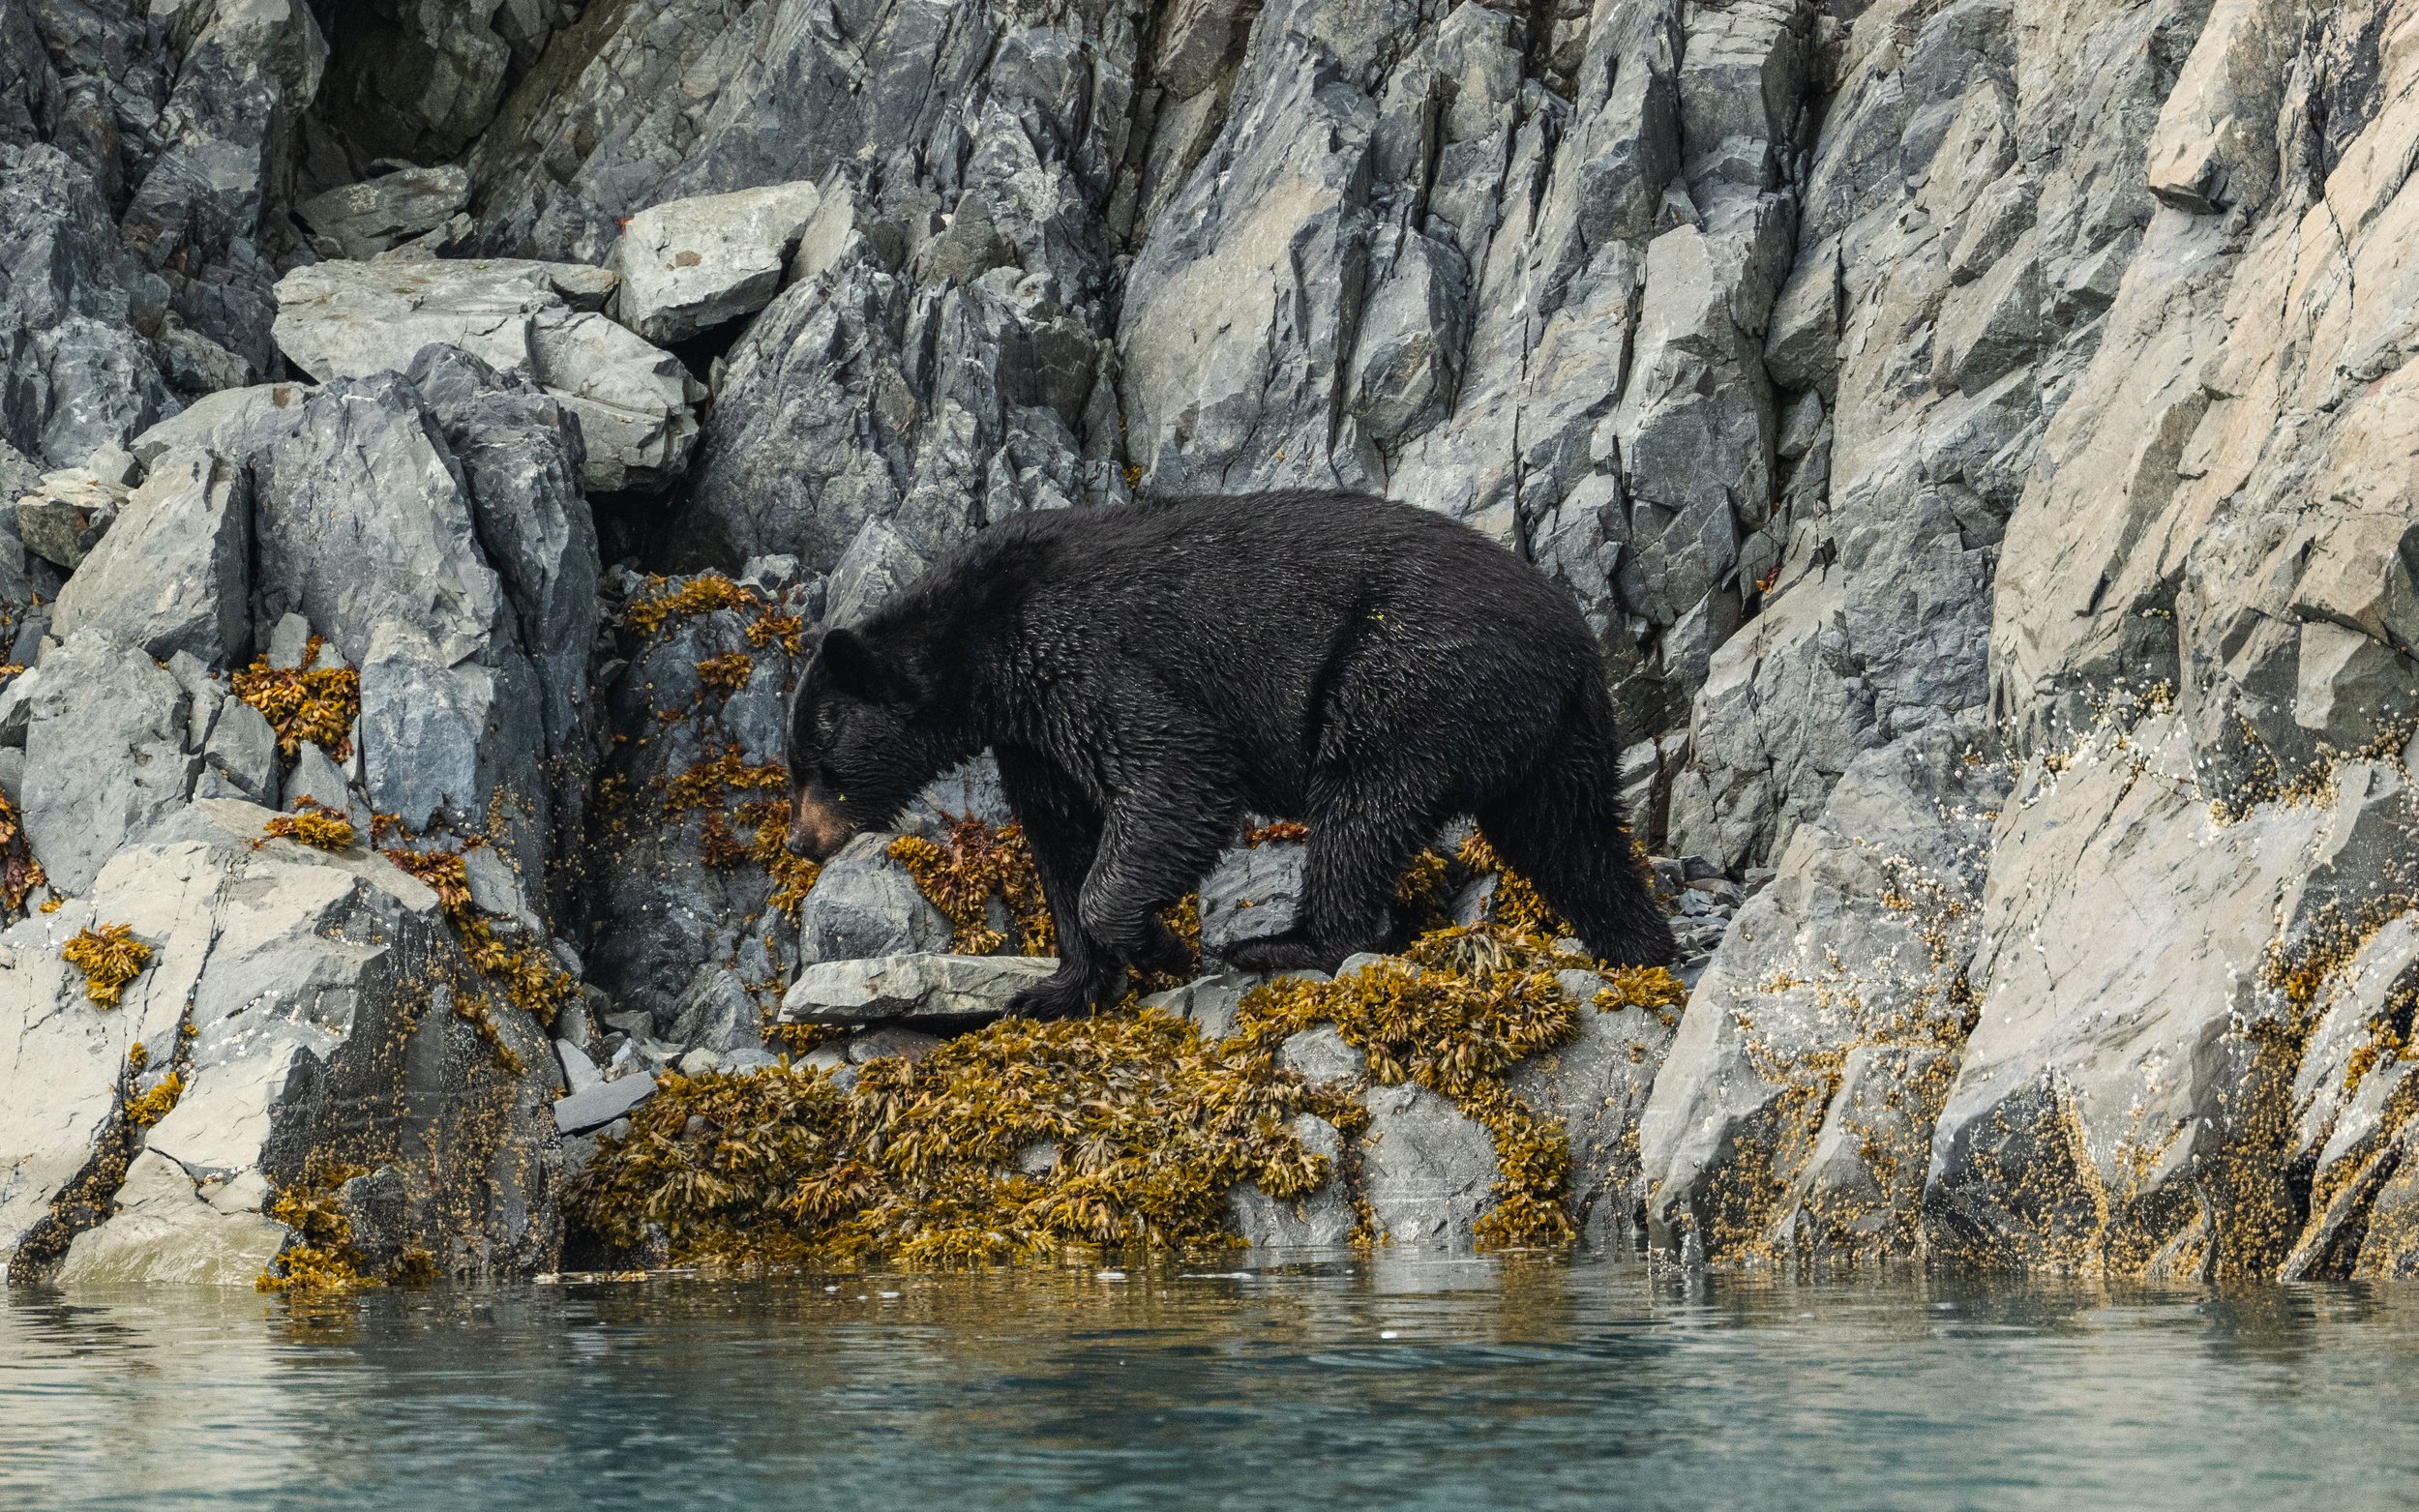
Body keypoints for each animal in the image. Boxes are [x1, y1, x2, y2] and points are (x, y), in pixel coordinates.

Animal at [783, 489, 1676, 1019]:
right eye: (795, 768)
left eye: (819, 761)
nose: (799, 839)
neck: (980, 645)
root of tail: (1571, 643)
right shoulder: (1030, 730)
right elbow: (1061, 835)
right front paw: (1057, 986)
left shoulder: (1083, 656)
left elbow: (1178, 774)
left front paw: (1160, 943)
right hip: (1553, 738)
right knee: (1573, 839)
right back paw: (1643, 947)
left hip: (1405, 676)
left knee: (1362, 807)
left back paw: (1286, 941)